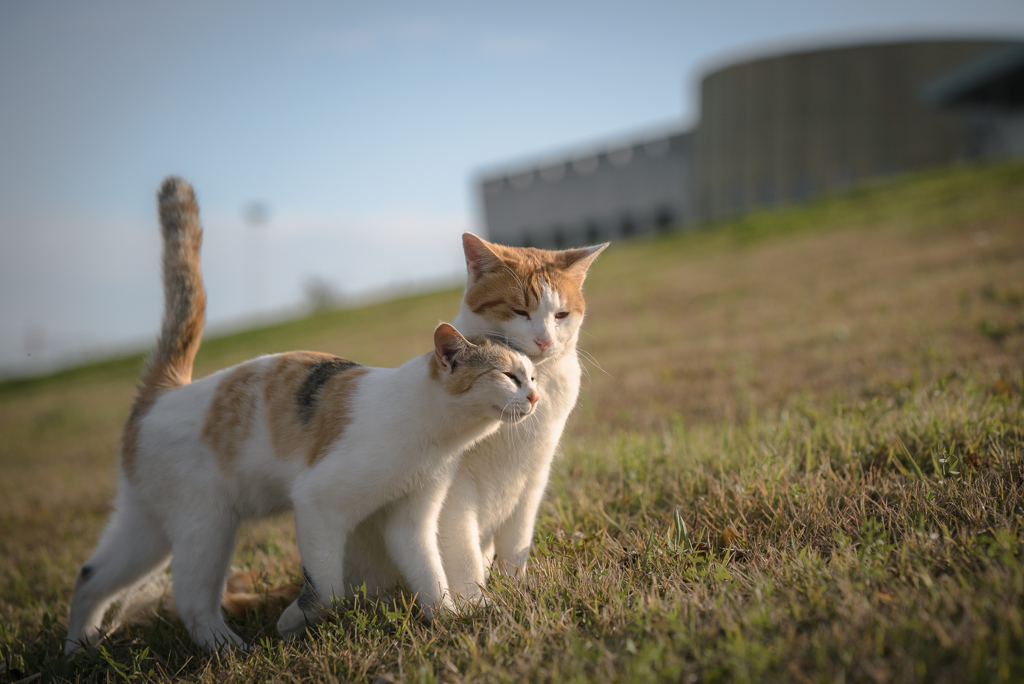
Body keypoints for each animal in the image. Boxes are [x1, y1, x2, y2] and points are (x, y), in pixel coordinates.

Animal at [66, 178, 544, 651]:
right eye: (509, 376)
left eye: (533, 376)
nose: (537, 398)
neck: (435, 439)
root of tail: (165, 390)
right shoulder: (318, 503)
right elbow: (327, 589)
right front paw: (293, 620)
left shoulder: (410, 519)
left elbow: (430, 574)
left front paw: (448, 618)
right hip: (206, 524)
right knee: (191, 599)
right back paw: (228, 648)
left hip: (147, 527)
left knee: (90, 576)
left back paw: (79, 650)